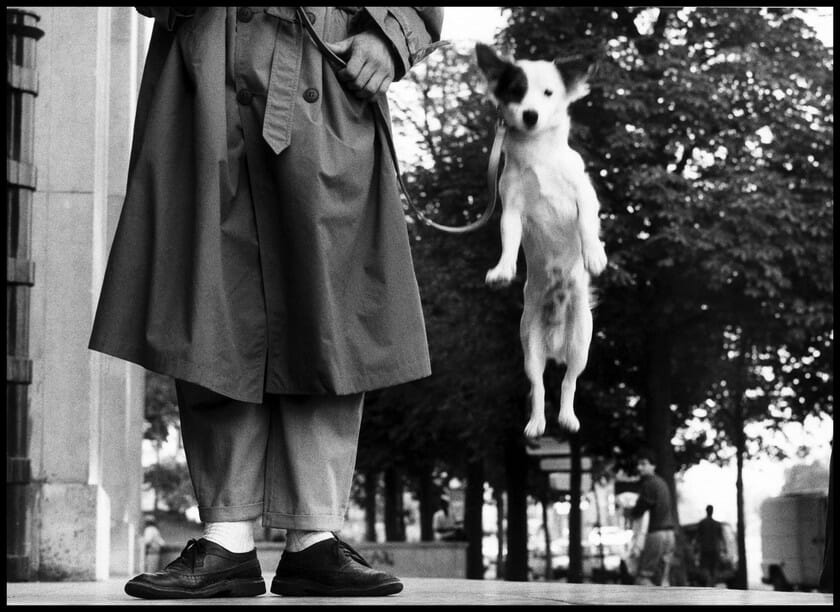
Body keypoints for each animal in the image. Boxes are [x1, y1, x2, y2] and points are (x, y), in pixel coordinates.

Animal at [476, 43, 608, 436]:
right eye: (516, 91)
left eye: (549, 93)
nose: (530, 115)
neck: (538, 158)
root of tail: (555, 341)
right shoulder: (511, 209)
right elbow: (508, 241)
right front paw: (503, 270)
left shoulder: (584, 195)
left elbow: (587, 225)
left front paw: (594, 255)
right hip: (530, 348)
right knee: (538, 385)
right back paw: (537, 423)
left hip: (581, 344)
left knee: (569, 381)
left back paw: (567, 417)